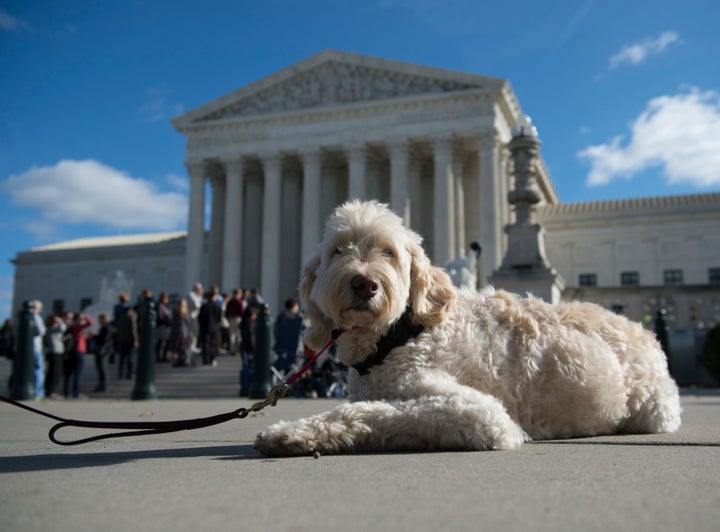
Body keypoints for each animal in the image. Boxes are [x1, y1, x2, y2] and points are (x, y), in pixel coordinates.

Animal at [256, 201, 684, 458]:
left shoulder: (481, 414)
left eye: (388, 252)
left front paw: (290, 432)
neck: (399, 335)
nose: (364, 283)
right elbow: (367, 407)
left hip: (655, 411)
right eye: (339, 250)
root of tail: (645, 331)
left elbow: (378, 413)